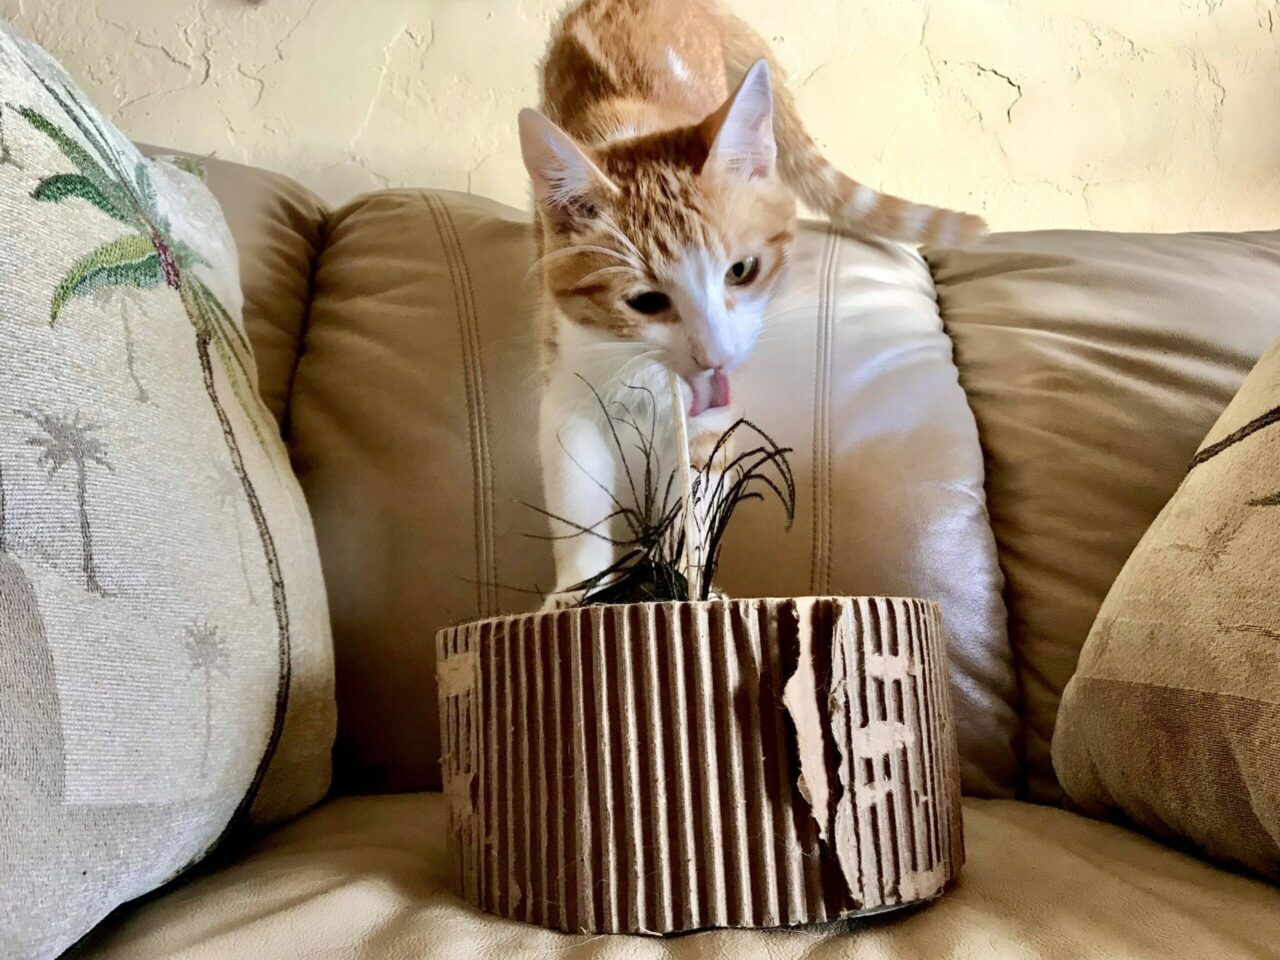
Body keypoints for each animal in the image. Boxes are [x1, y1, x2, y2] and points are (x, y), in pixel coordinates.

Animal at [519, 0, 977, 604]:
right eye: (645, 301)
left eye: (741, 271)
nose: (714, 354)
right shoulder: (569, 383)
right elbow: (578, 493)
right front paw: (580, 591)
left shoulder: (708, 415)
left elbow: (694, 495)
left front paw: (687, 583)